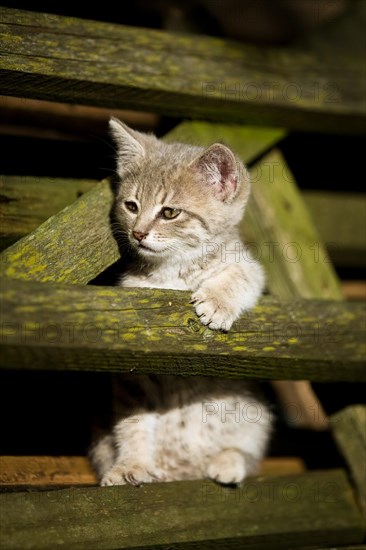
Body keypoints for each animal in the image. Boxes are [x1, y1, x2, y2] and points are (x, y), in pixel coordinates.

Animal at [89, 119, 270, 488]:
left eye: (169, 212)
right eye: (131, 206)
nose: (138, 233)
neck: (174, 270)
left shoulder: (249, 265)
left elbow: (241, 276)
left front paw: (216, 302)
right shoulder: (132, 383)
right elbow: (133, 424)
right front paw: (131, 464)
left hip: (254, 417)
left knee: (246, 447)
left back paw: (228, 460)